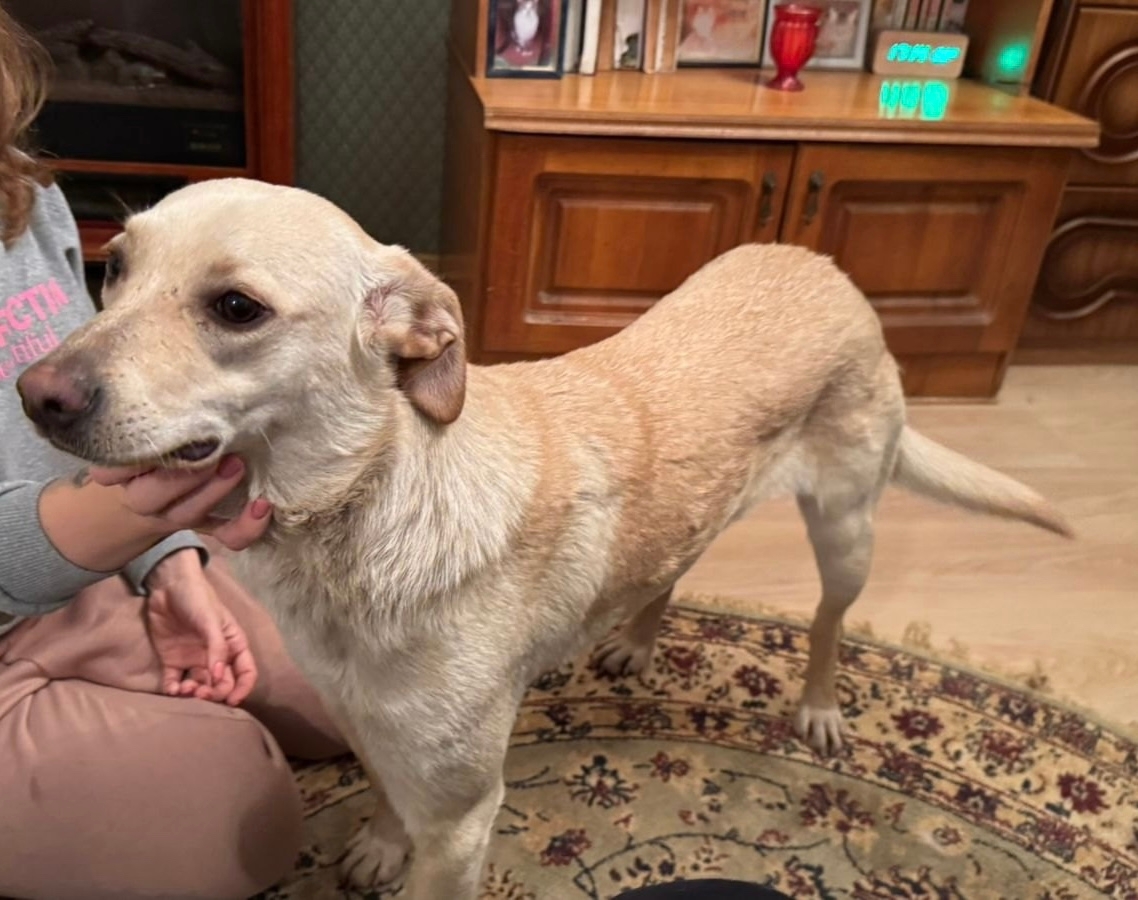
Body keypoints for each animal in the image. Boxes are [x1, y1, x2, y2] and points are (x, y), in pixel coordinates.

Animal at [17, 179, 1071, 899]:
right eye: (112, 269)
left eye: (236, 308)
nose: (36, 395)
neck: (360, 510)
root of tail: (827, 267)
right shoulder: (364, 721)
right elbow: (382, 793)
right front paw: (378, 843)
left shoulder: (463, 815)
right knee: (674, 565)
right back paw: (637, 640)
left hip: (847, 526)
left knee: (826, 623)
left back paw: (815, 705)